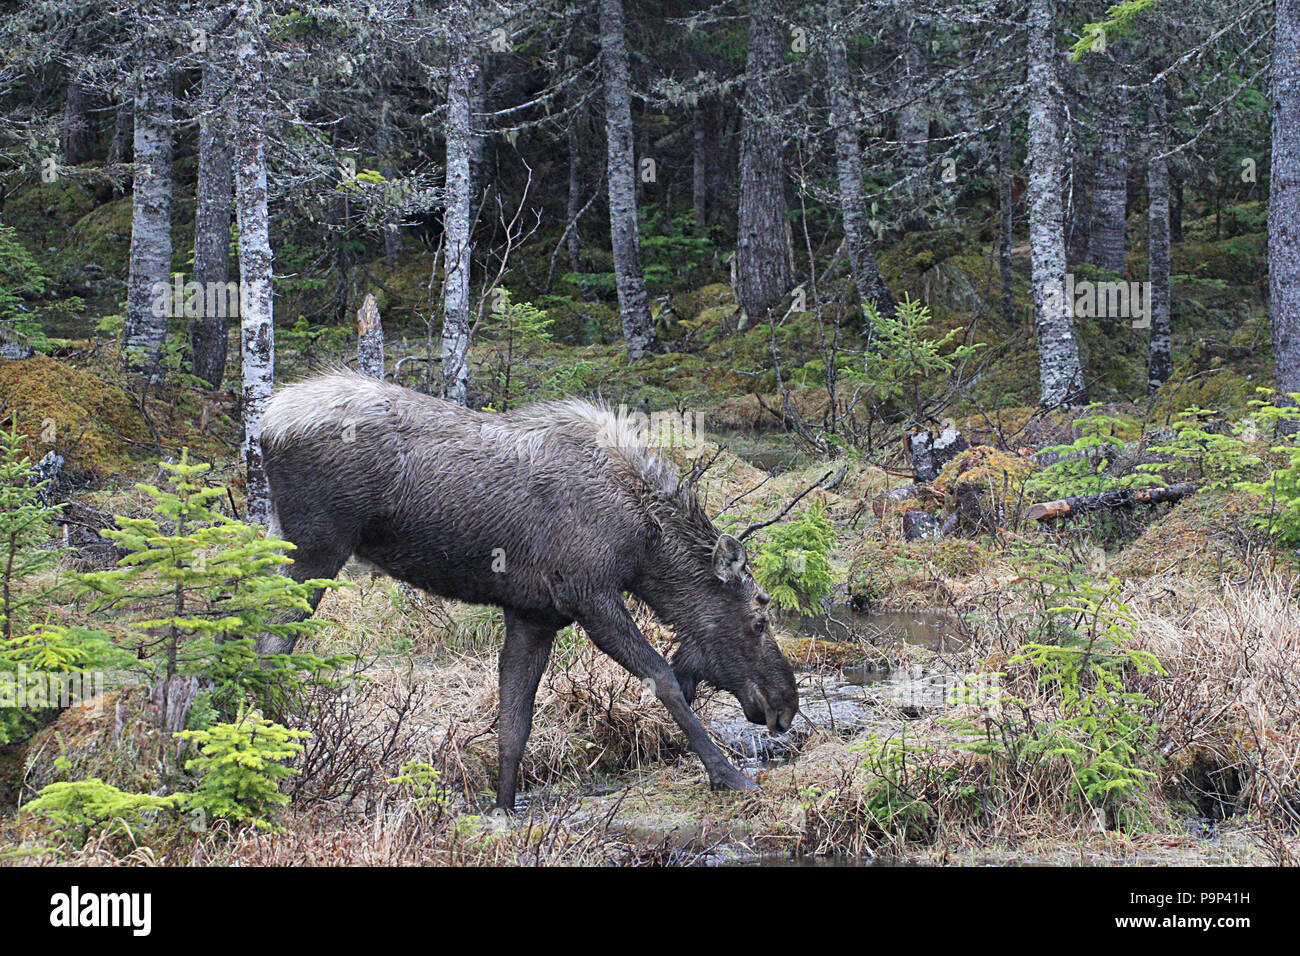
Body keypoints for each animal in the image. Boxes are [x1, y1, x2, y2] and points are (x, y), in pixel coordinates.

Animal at [257, 369, 795, 811]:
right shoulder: (589, 595)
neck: (644, 544)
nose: (786, 705)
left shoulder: (534, 614)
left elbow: (514, 724)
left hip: (279, 540)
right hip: (315, 548)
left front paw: (504, 809)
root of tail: (267, 423)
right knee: (268, 648)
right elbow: (663, 679)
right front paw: (729, 775)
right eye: (759, 619)